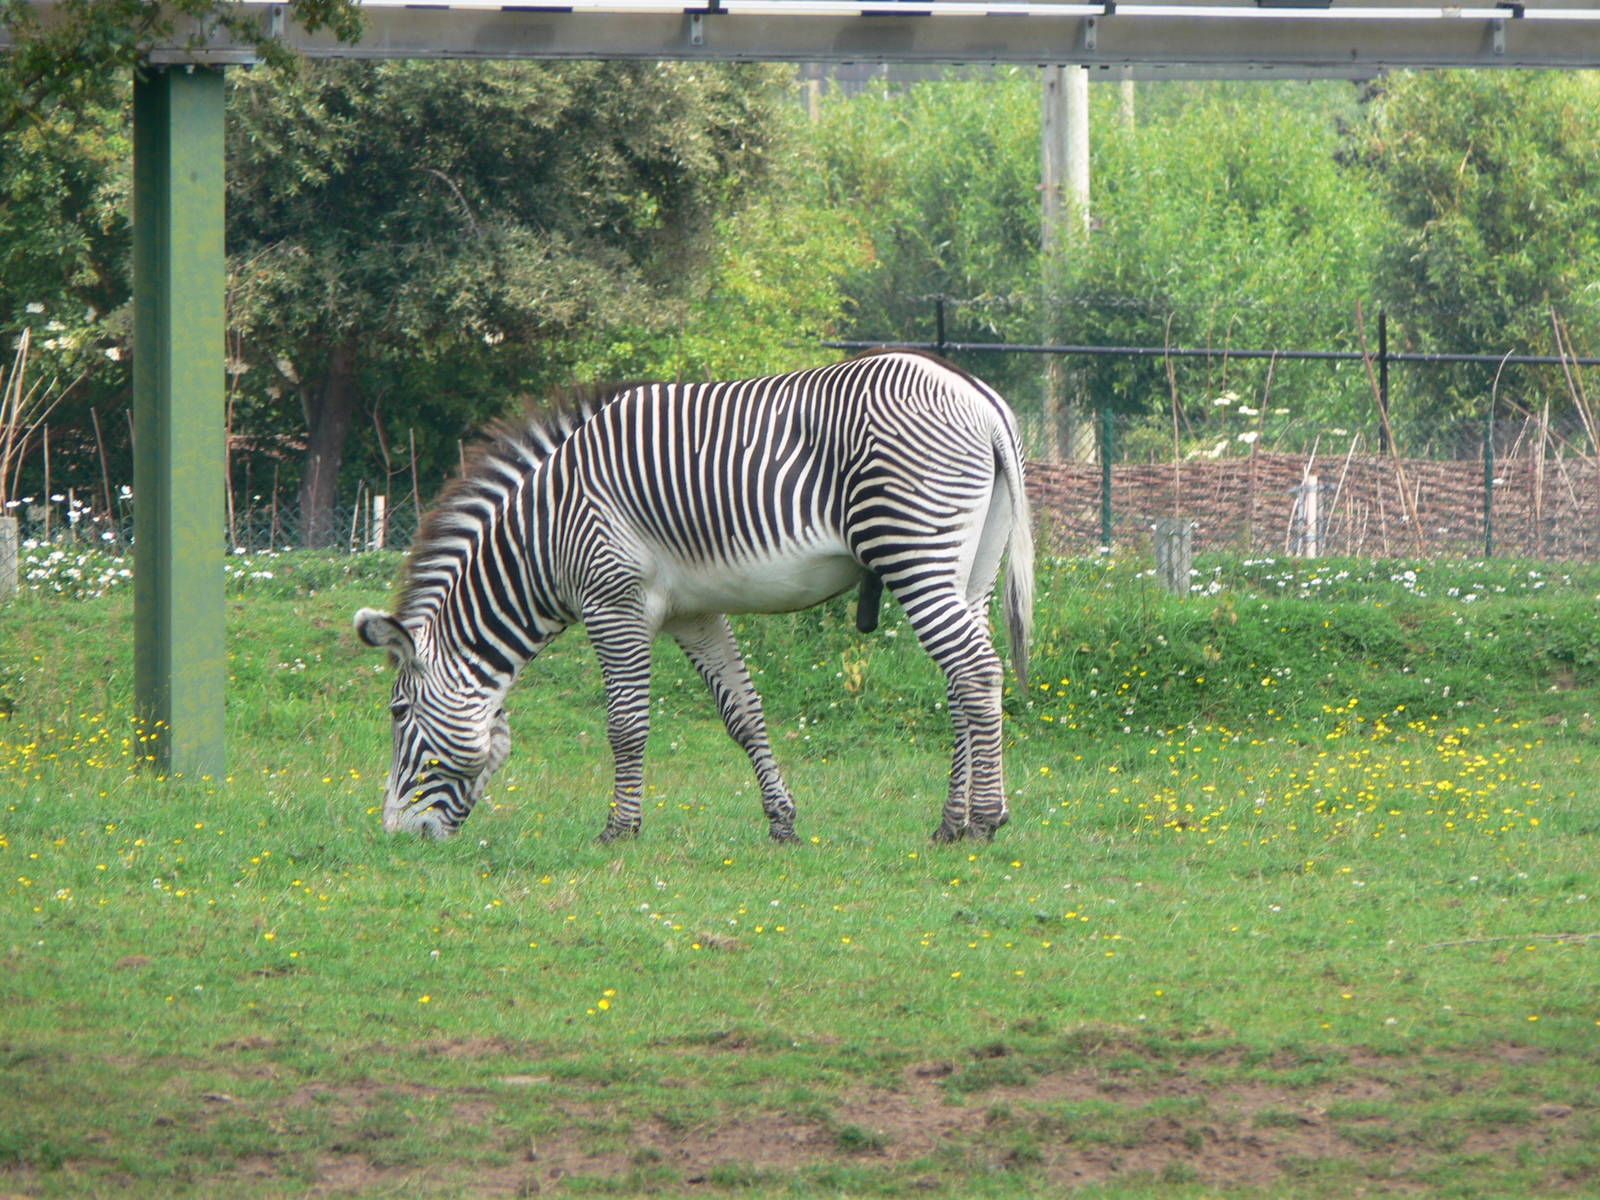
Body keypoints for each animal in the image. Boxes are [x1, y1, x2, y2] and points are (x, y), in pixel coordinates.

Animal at [354, 349, 1033, 844]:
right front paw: (782, 822)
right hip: (971, 568)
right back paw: (951, 822)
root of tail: (979, 396)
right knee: (964, 679)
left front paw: (619, 831)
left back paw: (985, 819)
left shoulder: (613, 602)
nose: (396, 836)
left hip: (913, 549)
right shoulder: (695, 613)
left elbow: (626, 724)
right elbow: (744, 715)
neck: (543, 534)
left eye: (397, 712)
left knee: (975, 671)